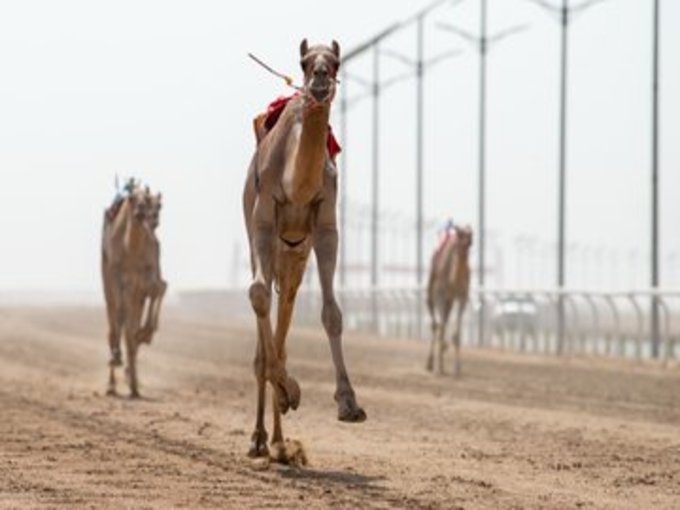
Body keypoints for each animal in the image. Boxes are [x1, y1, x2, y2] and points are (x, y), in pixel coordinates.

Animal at [244, 38, 366, 462]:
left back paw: (280, 441)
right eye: (304, 61)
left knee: (284, 320)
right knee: (265, 332)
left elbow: (332, 313)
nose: (320, 79)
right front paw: (291, 390)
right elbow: (257, 294)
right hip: (266, 246)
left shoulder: (326, 225)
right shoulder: (264, 219)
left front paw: (348, 403)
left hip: (295, 257)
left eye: (336, 61)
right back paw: (260, 438)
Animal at [424, 225, 472, 376]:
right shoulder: (440, 295)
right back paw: (430, 363)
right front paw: (440, 369)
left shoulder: (462, 297)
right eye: (459, 238)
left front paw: (458, 370)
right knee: (435, 324)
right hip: (430, 296)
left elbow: (457, 334)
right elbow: (441, 327)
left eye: (471, 241)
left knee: (442, 321)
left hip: (449, 302)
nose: (467, 242)